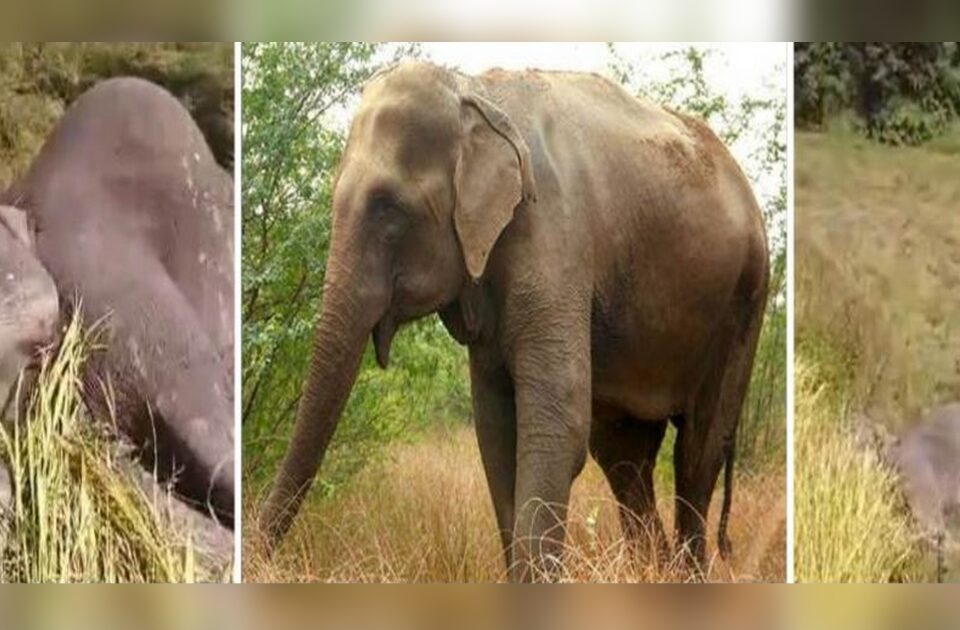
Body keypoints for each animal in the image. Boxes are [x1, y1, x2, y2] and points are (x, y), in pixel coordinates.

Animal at [260, 62, 769, 580]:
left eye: (389, 206)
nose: (259, 559)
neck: (475, 93)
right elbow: (496, 433)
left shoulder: (553, 235)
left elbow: (557, 425)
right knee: (624, 455)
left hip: (744, 301)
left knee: (697, 451)